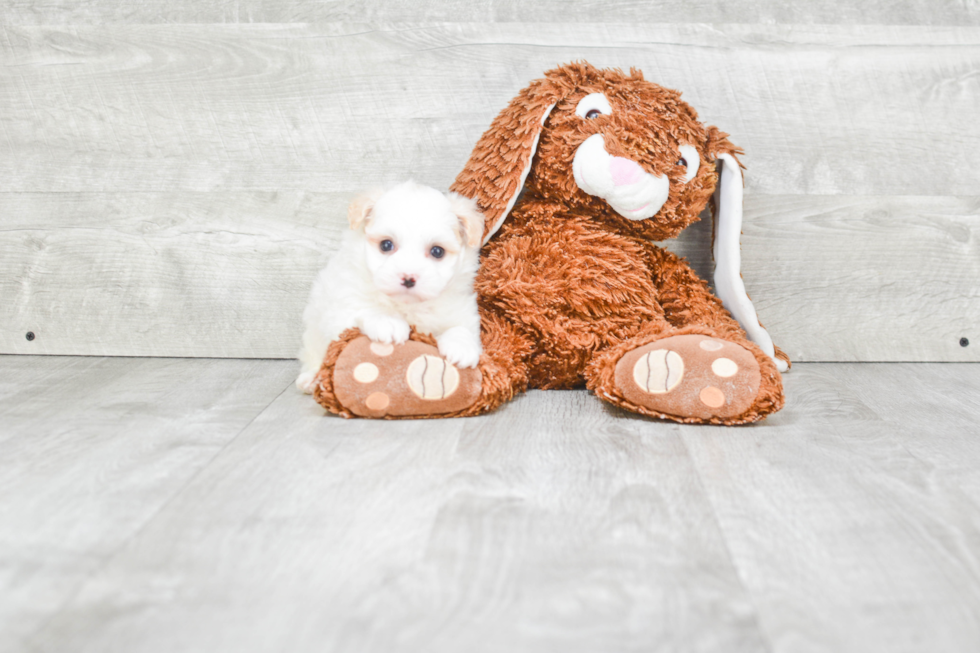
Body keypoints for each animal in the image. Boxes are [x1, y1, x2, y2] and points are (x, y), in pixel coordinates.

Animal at [294, 180, 486, 392]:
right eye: (386, 245)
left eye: (437, 251)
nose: (408, 278)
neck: (408, 306)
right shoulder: (343, 304)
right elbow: (363, 310)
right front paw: (387, 321)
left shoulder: (461, 309)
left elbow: (462, 327)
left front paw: (461, 346)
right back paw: (311, 379)